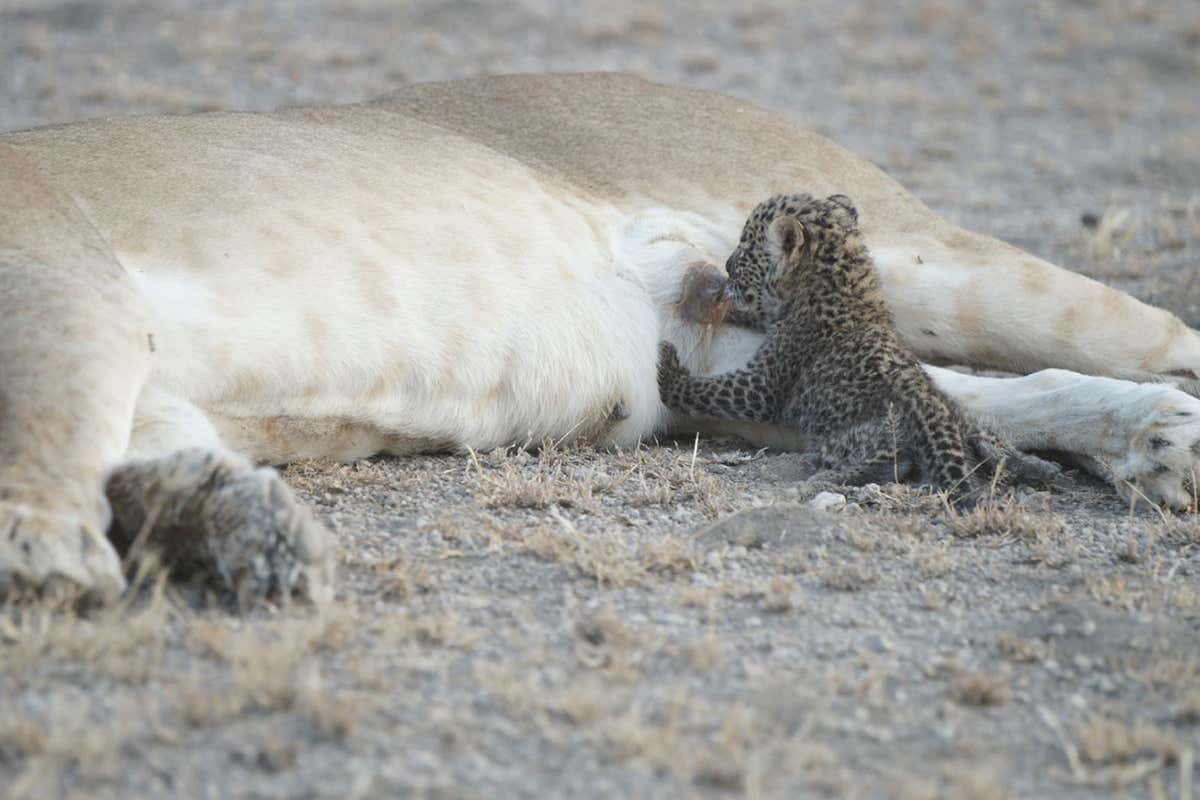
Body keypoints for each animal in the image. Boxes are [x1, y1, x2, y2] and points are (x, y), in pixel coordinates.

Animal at [658, 193, 1060, 499]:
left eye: (745, 248)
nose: (726, 263)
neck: (842, 285)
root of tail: (936, 415)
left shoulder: (766, 384)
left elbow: (713, 391)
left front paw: (668, 369)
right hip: (967, 424)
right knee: (990, 442)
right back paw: (1038, 466)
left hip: (852, 438)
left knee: (891, 460)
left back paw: (822, 481)